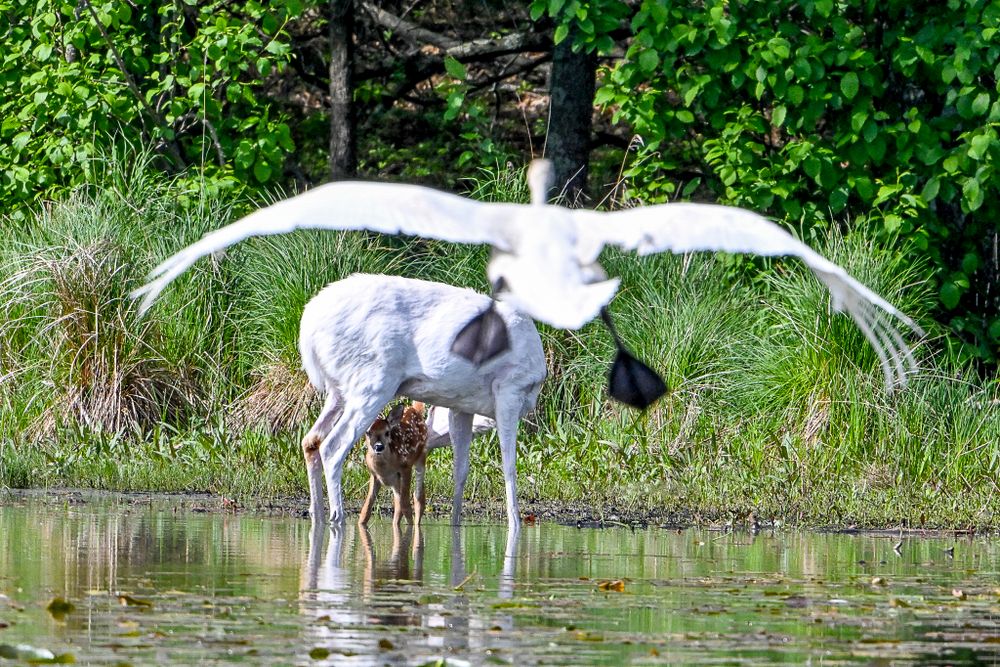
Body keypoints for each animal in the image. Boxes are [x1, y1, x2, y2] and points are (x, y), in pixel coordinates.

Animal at [298, 273, 546, 531]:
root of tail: (308, 331)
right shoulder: (510, 388)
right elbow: (509, 467)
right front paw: (515, 525)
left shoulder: (462, 405)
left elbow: (461, 470)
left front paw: (455, 524)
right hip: (373, 381)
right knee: (333, 446)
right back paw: (338, 517)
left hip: (339, 390)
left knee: (311, 440)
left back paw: (317, 514)